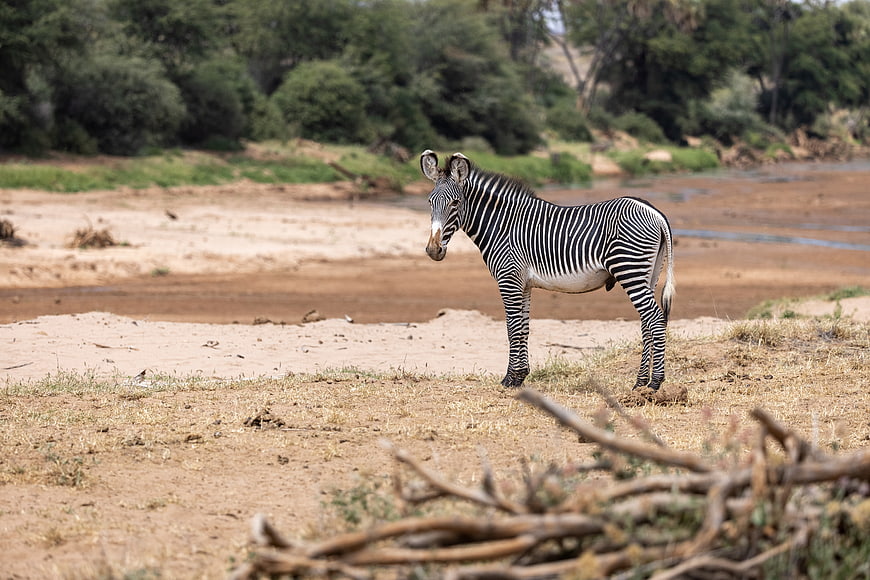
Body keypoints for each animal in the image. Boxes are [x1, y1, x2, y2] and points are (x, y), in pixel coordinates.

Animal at [420, 150, 675, 391]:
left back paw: (655, 382)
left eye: (455, 203)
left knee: (655, 318)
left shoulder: (508, 279)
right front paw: (520, 376)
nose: (433, 250)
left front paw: (509, 379)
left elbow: (512, 327)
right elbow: (523, 327)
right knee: (646, 321)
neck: (503, 226)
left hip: (630, 269)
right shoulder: (523, 284)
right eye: (430, 202)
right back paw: (640, 383)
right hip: (648, 274)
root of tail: (655, 212)